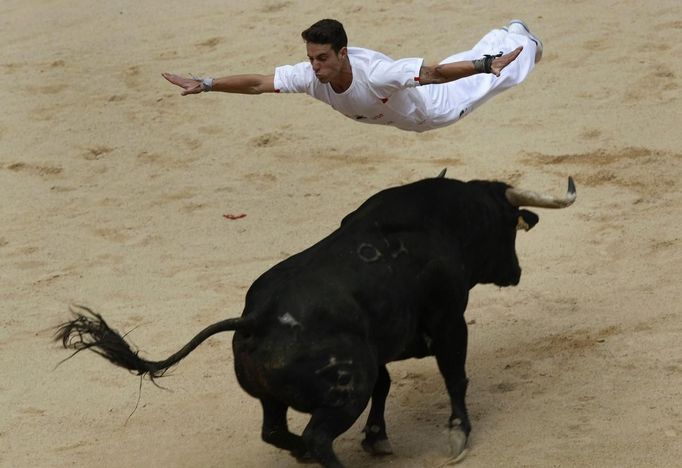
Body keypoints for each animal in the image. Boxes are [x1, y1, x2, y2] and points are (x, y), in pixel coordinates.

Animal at [55, 174, 572, 466]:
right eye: (509, 227)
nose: (516, 272)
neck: (448, 219)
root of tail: (255, 319)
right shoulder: (448, 320)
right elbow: (454, 376)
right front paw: (458, 435)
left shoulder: (379, 346)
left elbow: (387, 384)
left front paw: (378, 439)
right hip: (346, 389)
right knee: (319, 437)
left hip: (281, 394)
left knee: (275, 431)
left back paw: (302, 453)